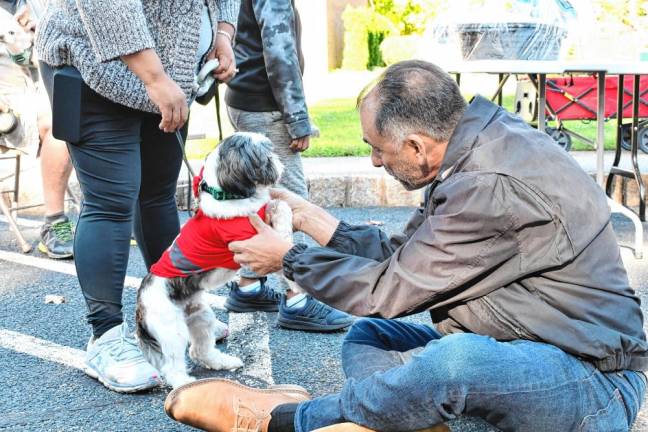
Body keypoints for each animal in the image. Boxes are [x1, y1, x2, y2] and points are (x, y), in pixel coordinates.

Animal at [138, 132, 300, 388]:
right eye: (265, 156)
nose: (278, 161)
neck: (226, 196)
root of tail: (141, 305)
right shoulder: (252, 244)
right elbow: (278, 230)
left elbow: (278, 203)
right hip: (172, 329)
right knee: (172, 367)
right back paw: (183, 385)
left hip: (200, 317)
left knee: (199, 350)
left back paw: (223, 361)